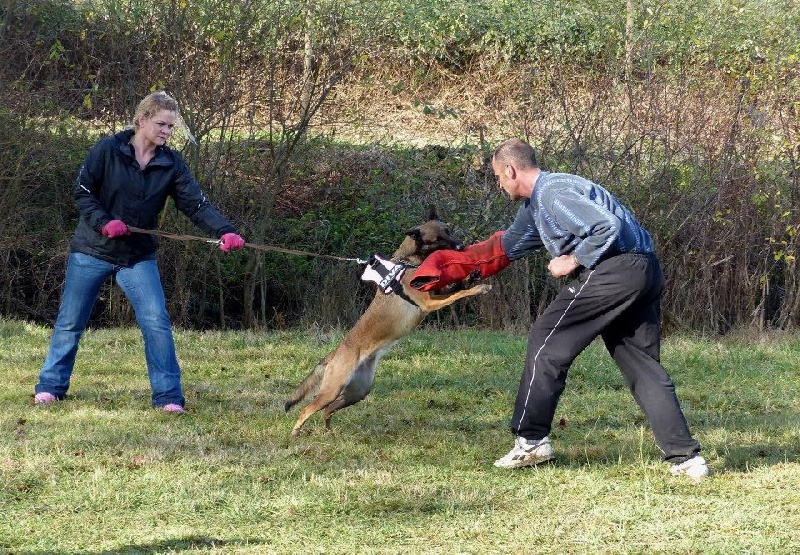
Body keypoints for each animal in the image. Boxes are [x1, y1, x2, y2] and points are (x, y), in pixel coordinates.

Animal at [284, 206, 490, 436]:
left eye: (448, 230)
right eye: (437, 239)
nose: (462, 247)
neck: (409, 261)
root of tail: (335, 353)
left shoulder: (434, 295)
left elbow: (456, 288)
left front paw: (471, 277)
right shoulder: (428, 303)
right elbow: (457, 294)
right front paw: (478, 287)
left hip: (358, 391)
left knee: (327, 410)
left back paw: (329, 432)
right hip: (332, 390)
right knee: (306, 409)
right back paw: (295, 434)